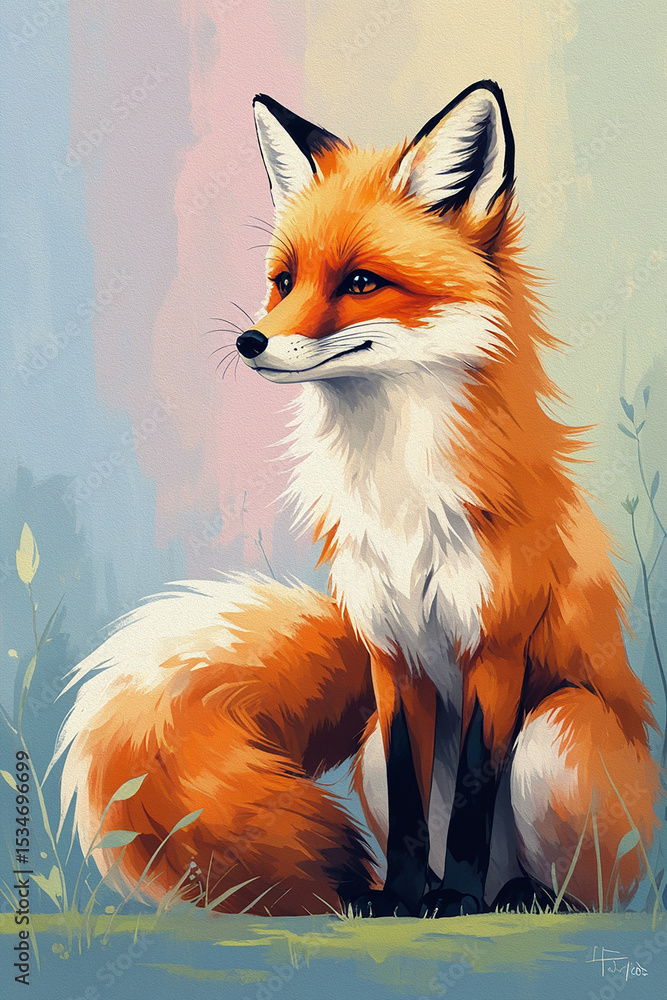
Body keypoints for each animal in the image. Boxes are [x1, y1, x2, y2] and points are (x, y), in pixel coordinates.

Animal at [52, 81, 661, 918]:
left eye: (361, 283)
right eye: (283, 281)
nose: (249, 341)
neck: (395, 498)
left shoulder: (494, 649)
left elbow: (471, 800)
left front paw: (455, 900)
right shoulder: (389, 654)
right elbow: (409, 805)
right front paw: (406, 897)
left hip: (555, 729)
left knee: (582, 890)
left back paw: (510, 897)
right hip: (371, 743)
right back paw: (400, 894)